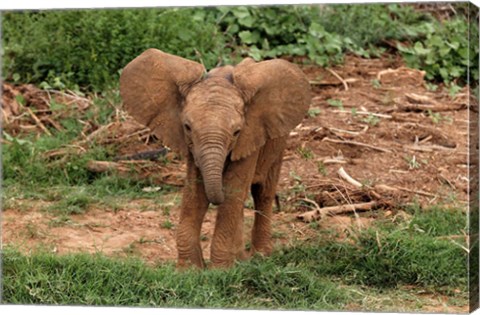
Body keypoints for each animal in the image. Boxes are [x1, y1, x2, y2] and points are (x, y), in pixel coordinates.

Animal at [118, 49, 310, 270]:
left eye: (236, 132)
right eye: (187, 127)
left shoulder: (249, 138)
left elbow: (232, 192)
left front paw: (220, 271)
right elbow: (195, 194)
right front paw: (190, 271)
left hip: (277, 142)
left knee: (262, 192)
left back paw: (260, 257)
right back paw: (241, 260)